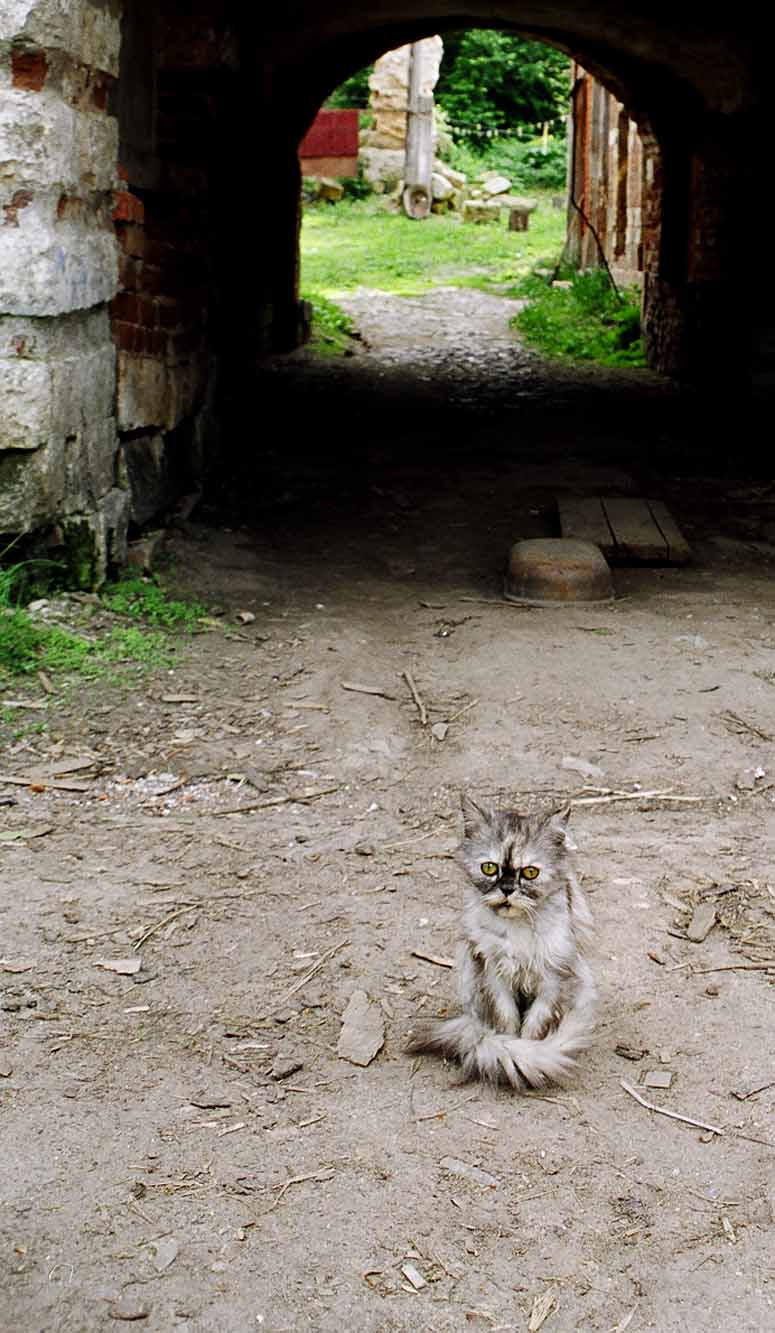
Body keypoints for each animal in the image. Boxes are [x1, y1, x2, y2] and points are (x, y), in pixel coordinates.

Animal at [408, 794, 594, 1087]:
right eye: (489, 868)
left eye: (530, 873)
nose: (506, 889)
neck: (516, 931)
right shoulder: (492, 972)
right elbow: (506, 1022)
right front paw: (512, 1053)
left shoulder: (553, 977)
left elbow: (534, 1028)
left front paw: (531, 1055)